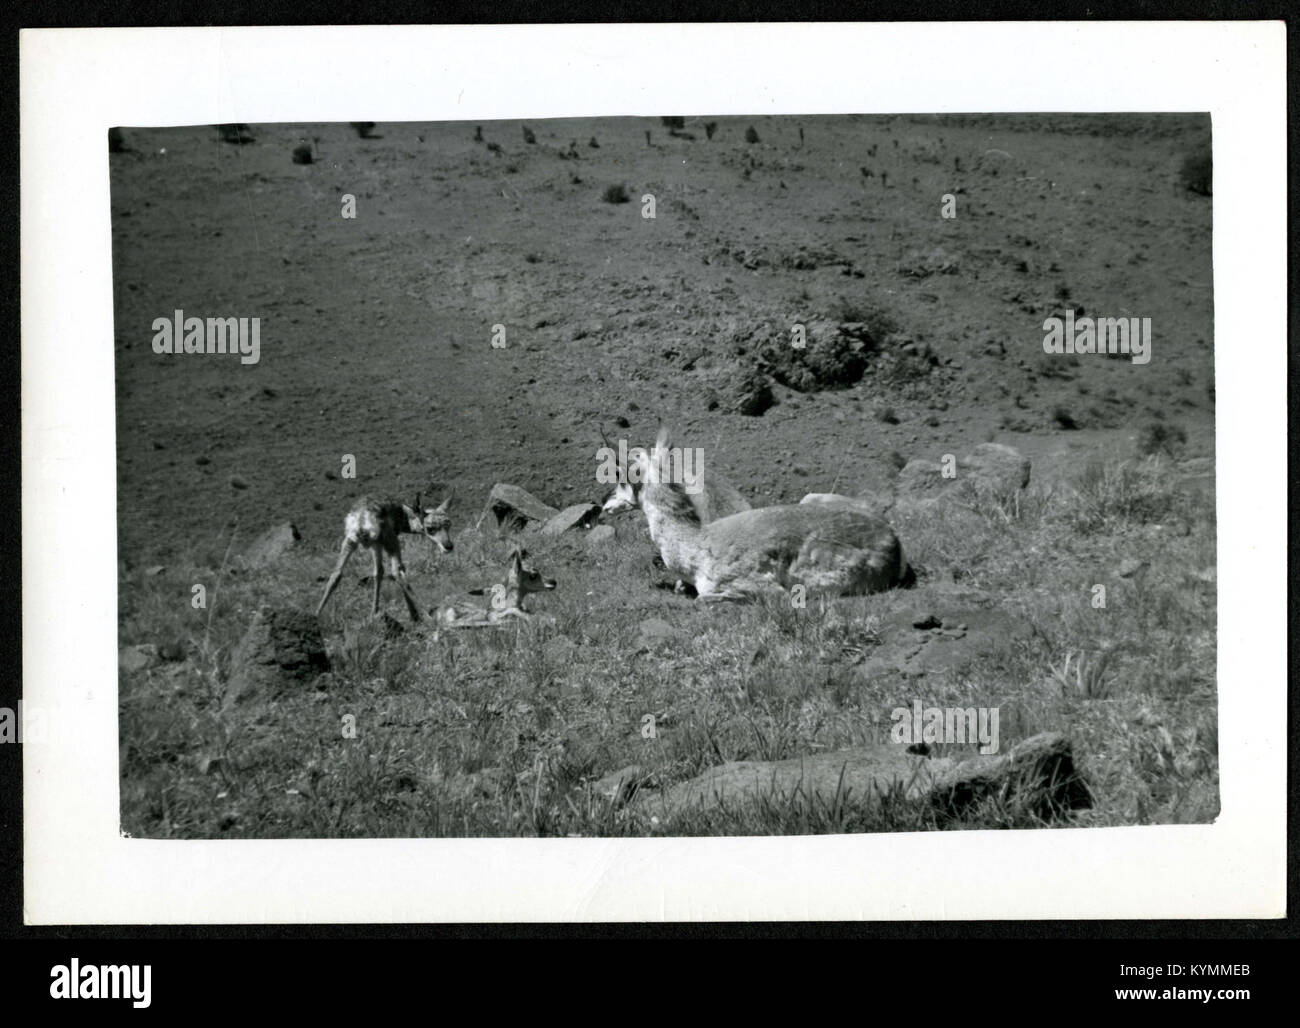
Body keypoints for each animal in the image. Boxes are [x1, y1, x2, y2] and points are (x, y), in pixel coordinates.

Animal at [316, 493, 453, 623]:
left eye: (448, 523)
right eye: (429, 528)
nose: (449, 546)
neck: (403, 514)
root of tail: (362, 519)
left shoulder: (376, 545)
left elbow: (378, 573)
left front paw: (374, 612)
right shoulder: (384, 544)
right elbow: (393, 571)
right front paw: (413, 615)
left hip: (350, 542)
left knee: (336, 573)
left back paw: (316, 614)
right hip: (390, 542)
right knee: (397, 572)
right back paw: (427, 616)